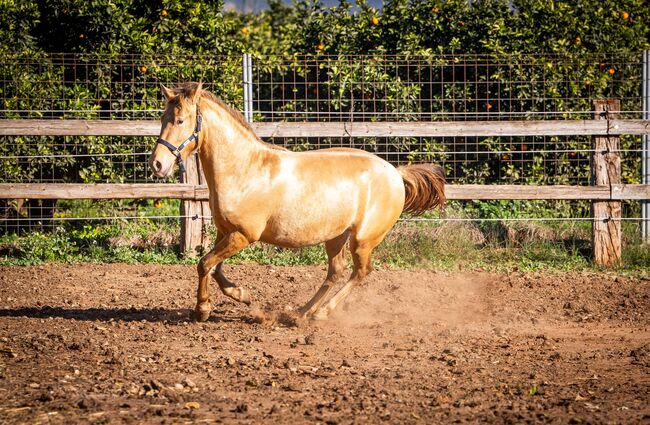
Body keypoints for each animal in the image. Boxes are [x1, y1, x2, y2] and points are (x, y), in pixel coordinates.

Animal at [149, 82, 442, 322]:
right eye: (163, 118)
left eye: (180, 120)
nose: (157, 164)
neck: (244, 169)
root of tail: (395, 172)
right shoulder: (226, 232)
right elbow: (215, 268)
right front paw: (242, 294)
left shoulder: (243, 235)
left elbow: (204, 264)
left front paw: (203, 310)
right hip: (335, 236)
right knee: (335, 272)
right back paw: (301, 312)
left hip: (362, 240)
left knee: (361, 272)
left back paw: (321, 314)